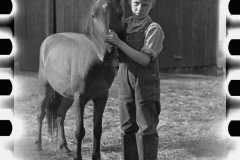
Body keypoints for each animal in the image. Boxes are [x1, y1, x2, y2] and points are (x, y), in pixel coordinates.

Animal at [34, 0, 123, 159]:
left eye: (120, 13)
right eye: (93, 15)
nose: (108, 52)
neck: (95, 61)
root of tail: (49, 40)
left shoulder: (101, 98)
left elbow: (97, 129)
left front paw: (96, 156)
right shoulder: (80, 98)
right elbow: (79, 131)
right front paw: (78, 156)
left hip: (68, 97)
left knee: (60, 115)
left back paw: (64, 146)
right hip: (45, 88)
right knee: (41, 114)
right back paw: (38, 146)